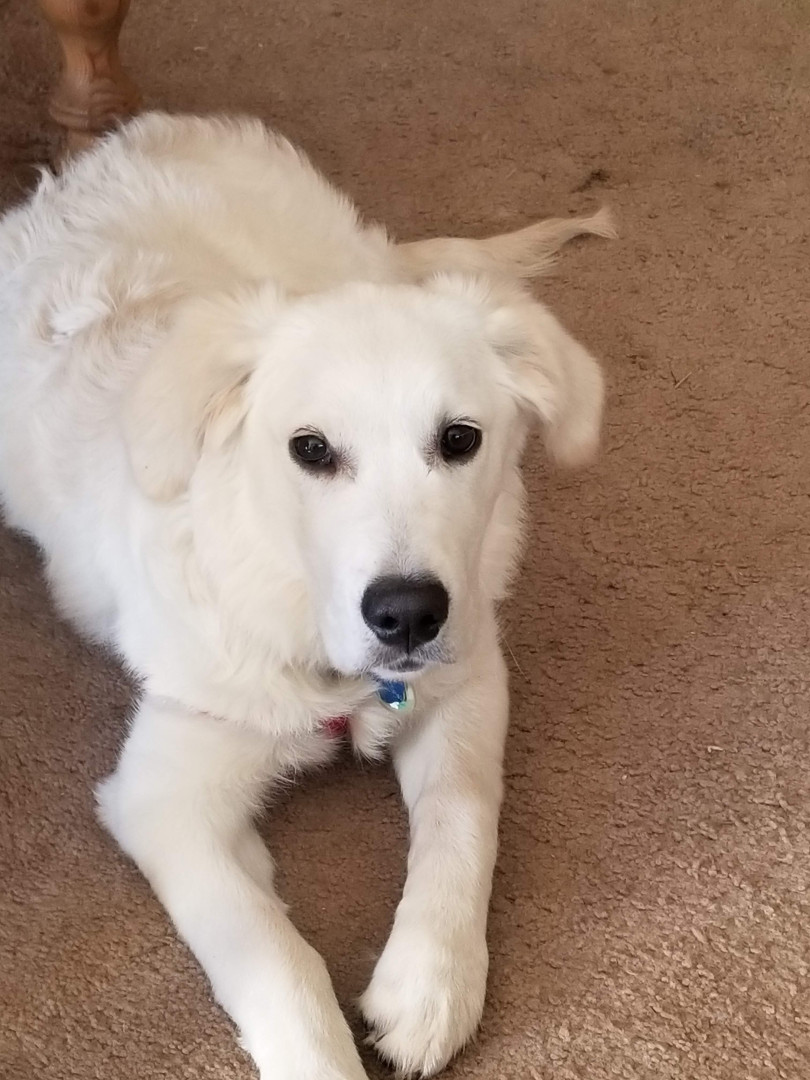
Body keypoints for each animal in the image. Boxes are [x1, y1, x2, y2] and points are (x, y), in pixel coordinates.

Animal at [0, 113, 612, 1079]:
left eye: (460, 438)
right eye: (310, 449)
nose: (407, 614)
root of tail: (139, 135)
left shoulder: (470, 677)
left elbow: (462, 814)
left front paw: (430, 985)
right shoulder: (165, 795)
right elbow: (272, 956)